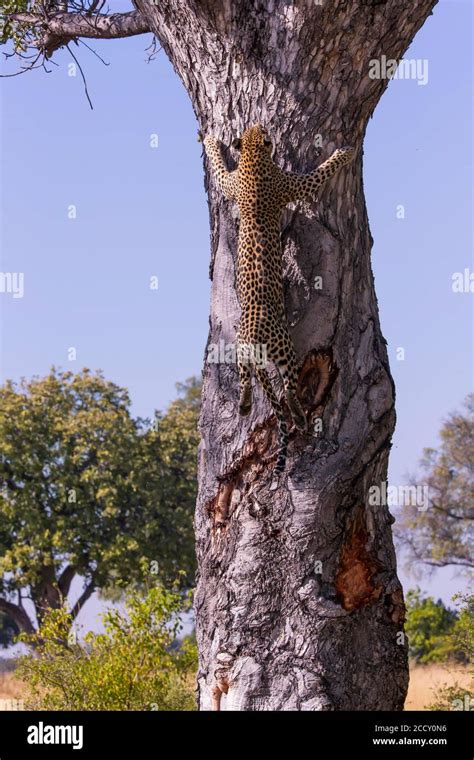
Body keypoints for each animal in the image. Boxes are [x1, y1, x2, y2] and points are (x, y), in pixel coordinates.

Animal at [202, 124, 354, 476]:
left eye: (254, 129)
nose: (261, 126)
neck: (253, 158)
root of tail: (255, 333)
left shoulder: (228, 182)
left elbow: (219, 168)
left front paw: (211, 141)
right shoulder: (294, 183)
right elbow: (318, 173)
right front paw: (343, 153)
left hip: (240, 351)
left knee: (246, 379)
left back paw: (245, 406)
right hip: (286, 349)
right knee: (288, 386)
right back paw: (298, 414)